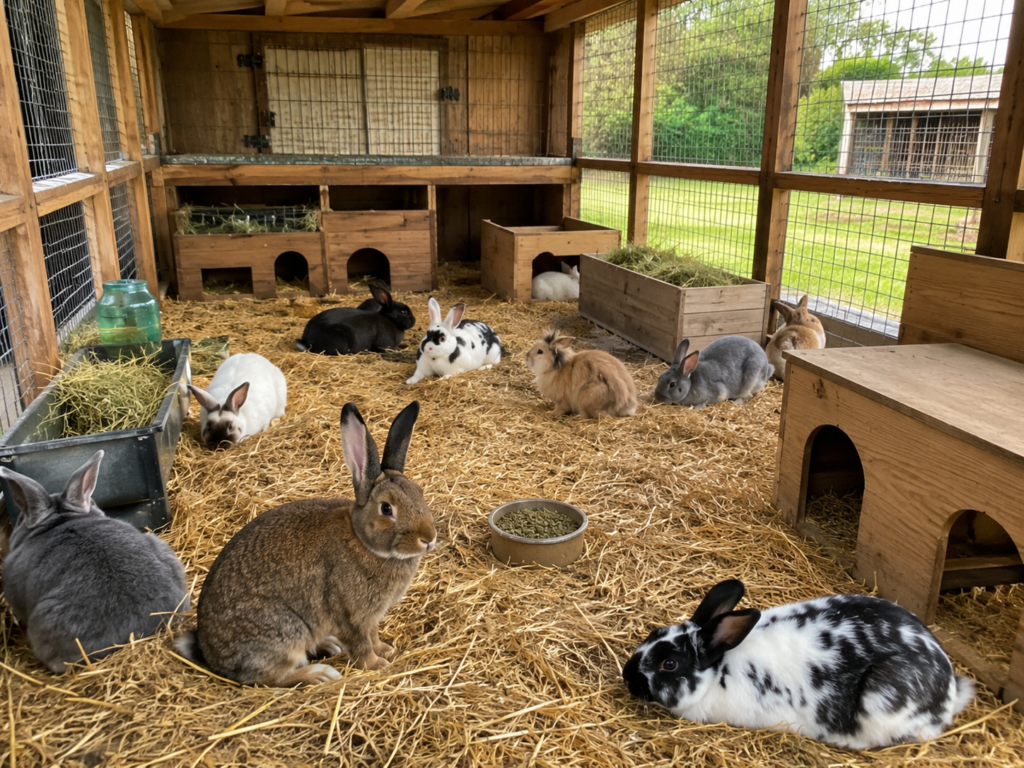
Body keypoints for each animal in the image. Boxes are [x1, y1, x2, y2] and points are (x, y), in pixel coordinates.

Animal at [174, 401, 436, 686]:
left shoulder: (371, 618)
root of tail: (209, 655)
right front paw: (377, 664)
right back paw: (320, 674)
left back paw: (328, 646)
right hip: (285, 630)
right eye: (387, 509)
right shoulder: (350, 615)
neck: (363, 541)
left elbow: (373, 636)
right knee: (270, 678)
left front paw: (384, 649)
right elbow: (361, 644)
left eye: (420, 492)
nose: (429, 538)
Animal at [622, 579, 974, 750]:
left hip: (881, 701)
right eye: (654, 633)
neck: (718, 670)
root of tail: (948, 693)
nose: (627, 676)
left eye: (669, 664)